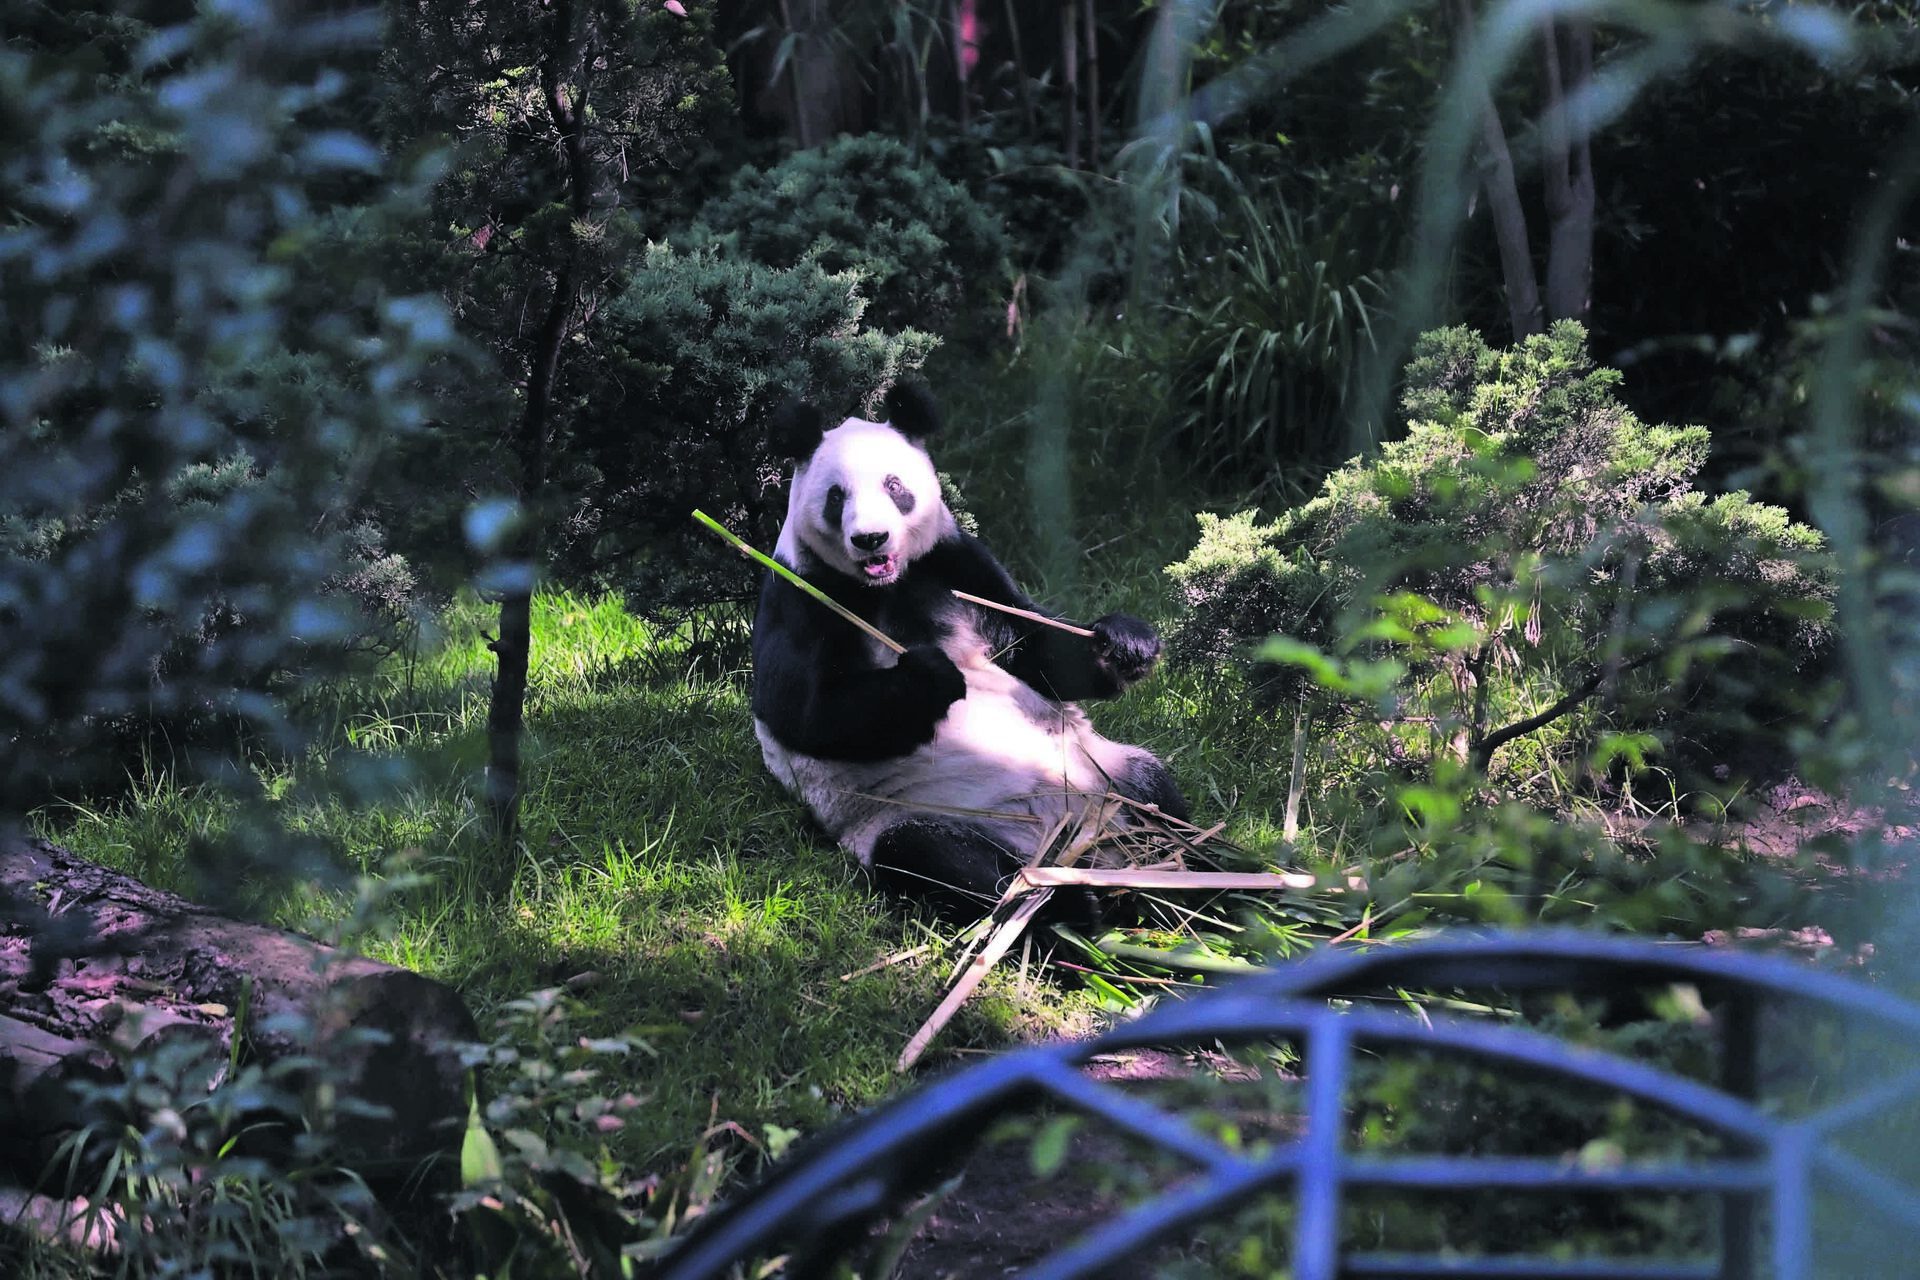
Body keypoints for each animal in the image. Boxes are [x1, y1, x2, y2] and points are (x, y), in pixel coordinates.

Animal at [748, 383, 1182, 921]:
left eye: (894, 486)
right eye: (836, 496)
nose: (871, 539)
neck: (885, 585)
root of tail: (1062, 840)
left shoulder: (954, 564)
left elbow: (1034, 648)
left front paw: (1124, 643)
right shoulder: (800, 594)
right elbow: (802, 712)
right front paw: (928, 676)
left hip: (1103, 772)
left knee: (1155, 793)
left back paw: (1187, 876)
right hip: (915, 815)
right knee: (941, 859)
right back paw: (1067, 905)